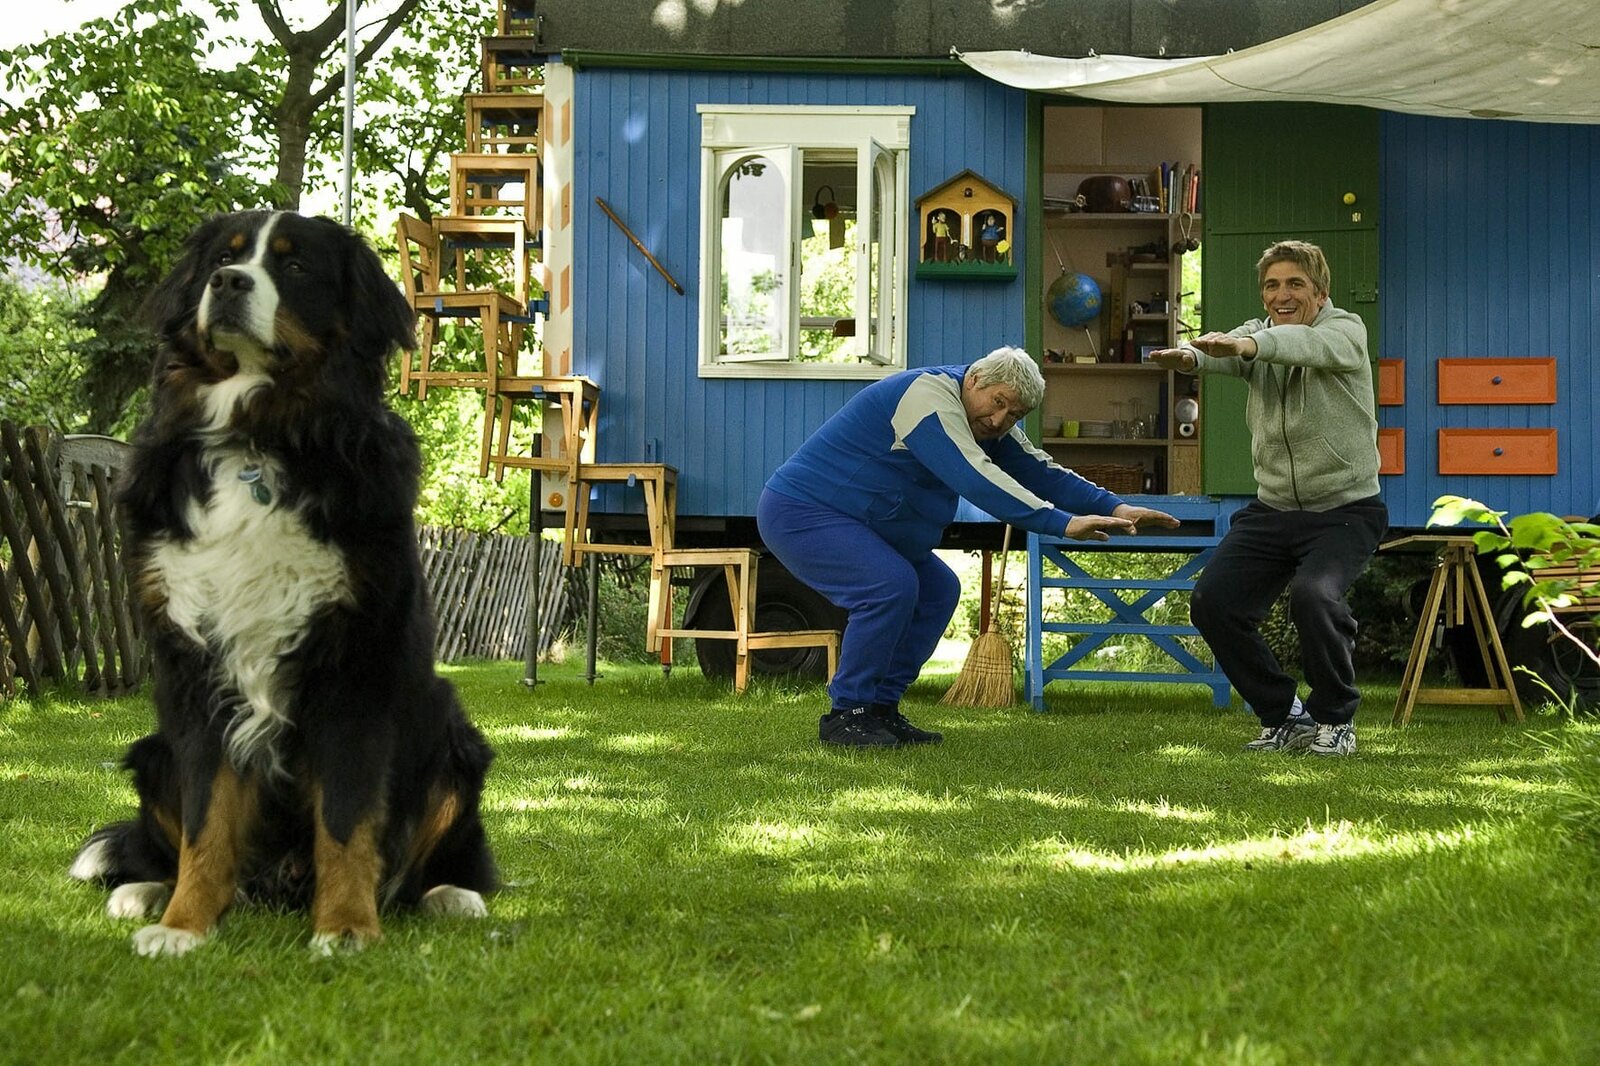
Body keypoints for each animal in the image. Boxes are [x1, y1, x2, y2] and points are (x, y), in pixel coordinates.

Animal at [68, 210, 498, 957]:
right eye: (225, 256)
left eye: (295, 266)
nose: (228, 284)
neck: (259, 435)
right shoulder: (195, 673)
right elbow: (206, 824)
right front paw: (183, 924)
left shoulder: (354, 671)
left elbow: (348, 823)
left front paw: (348, 927)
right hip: (153, 750)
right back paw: (144, 890)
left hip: (452, 735)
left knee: (423, 863)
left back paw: (449, 895)